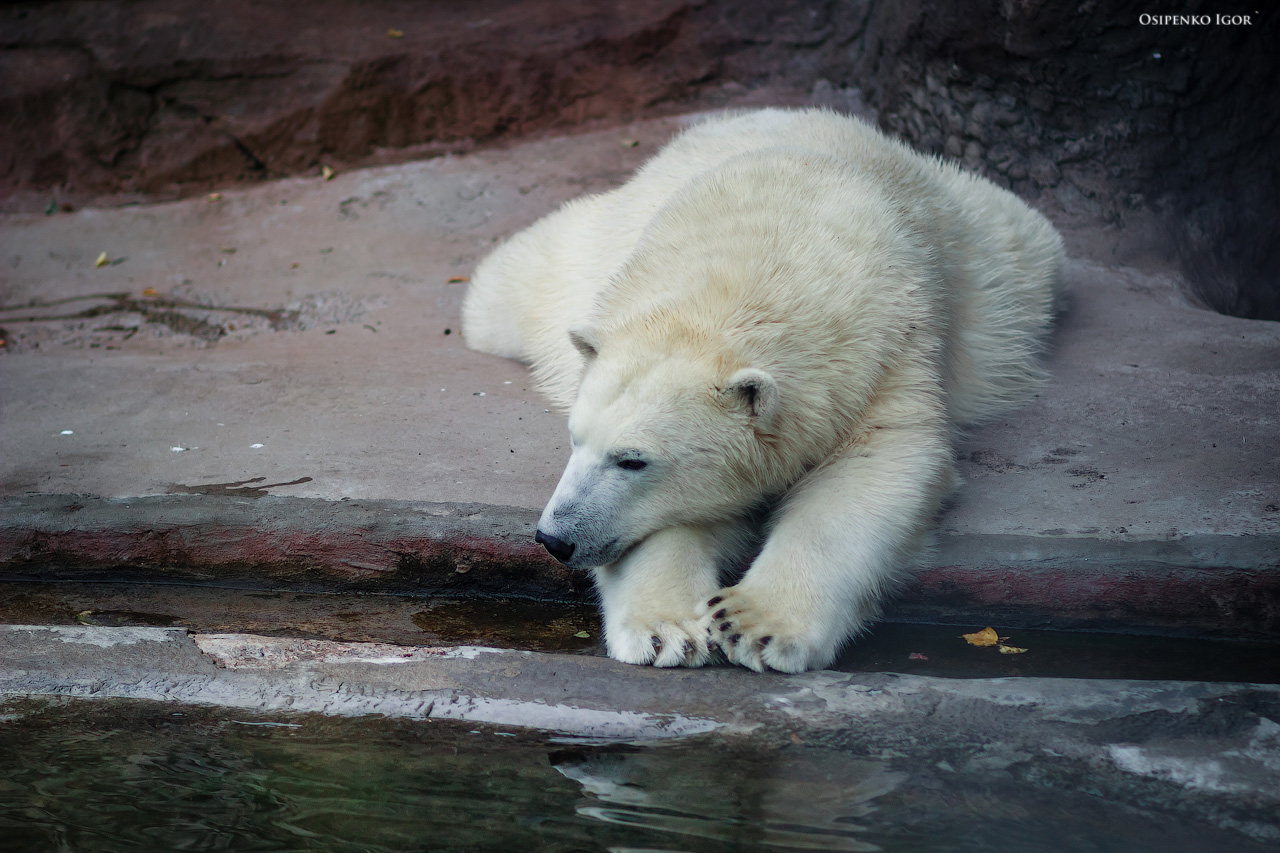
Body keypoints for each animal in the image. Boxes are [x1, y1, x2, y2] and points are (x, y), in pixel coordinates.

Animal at [460, 106, 1059, 666]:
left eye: (633, 459)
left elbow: (874, 470)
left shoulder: (887, 355)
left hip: (993, 262)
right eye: (573, 439)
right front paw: (668, 629)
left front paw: (754, 623)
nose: (554, 538)